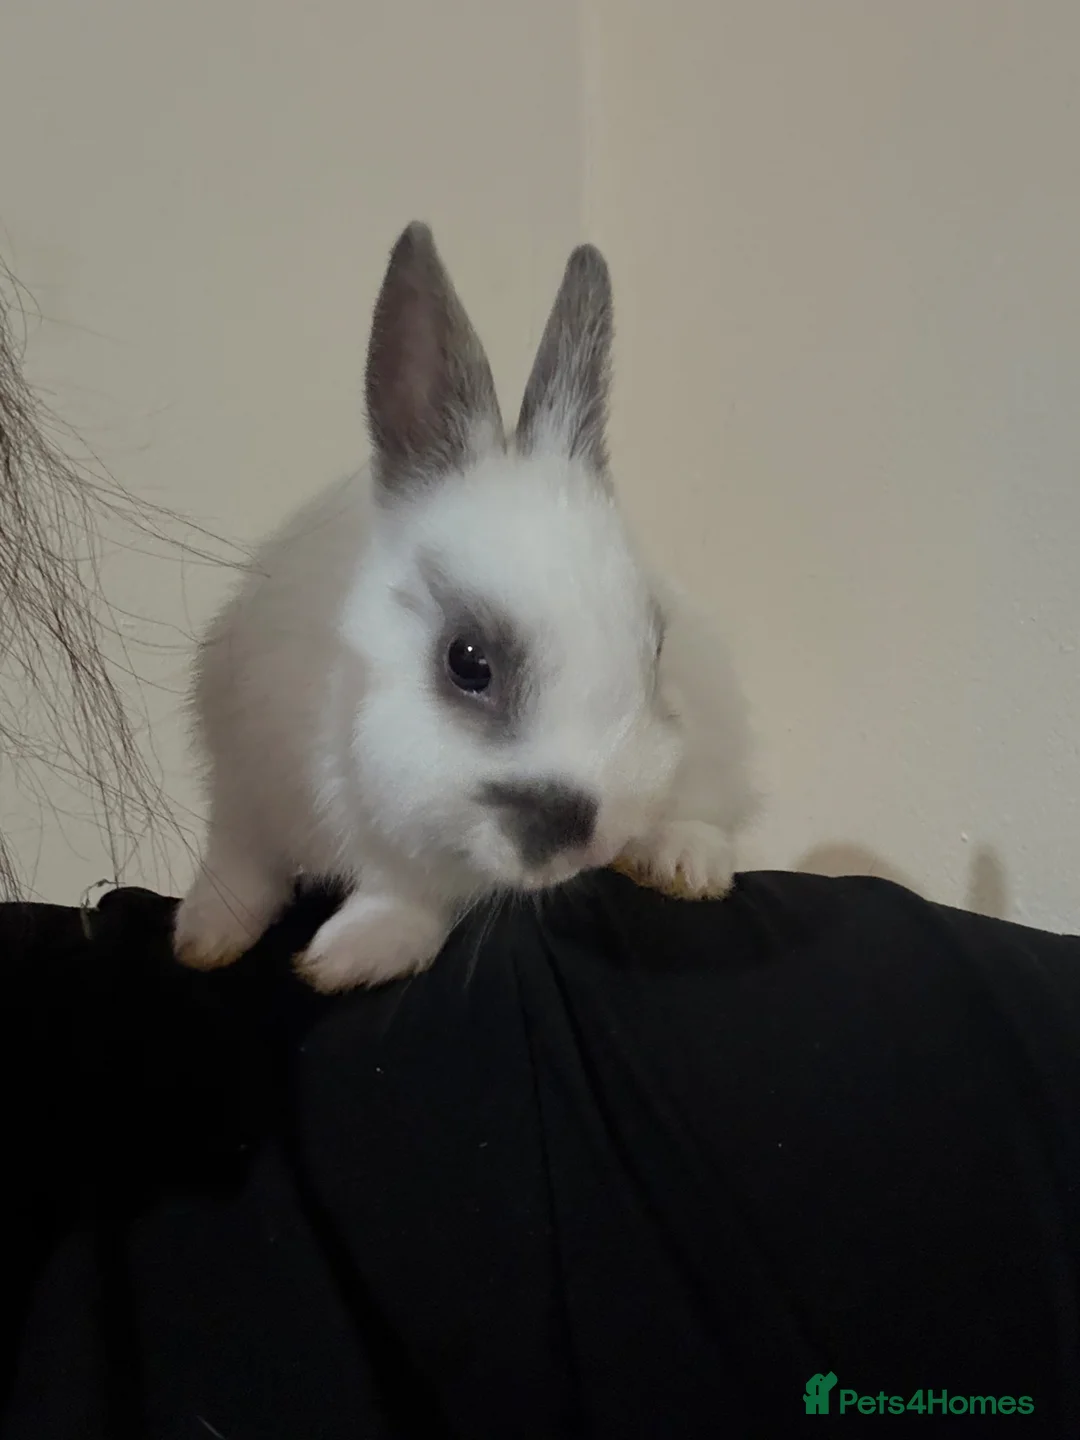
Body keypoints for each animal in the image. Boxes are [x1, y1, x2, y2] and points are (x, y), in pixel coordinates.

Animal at [173, 222, 755, 992]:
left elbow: (413, 893)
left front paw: (356, 951)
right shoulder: (243, 777)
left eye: (656, 649)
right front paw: (207, 932)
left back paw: (687, 860)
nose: (594, 840)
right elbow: (237, 861)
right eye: (467, 661)